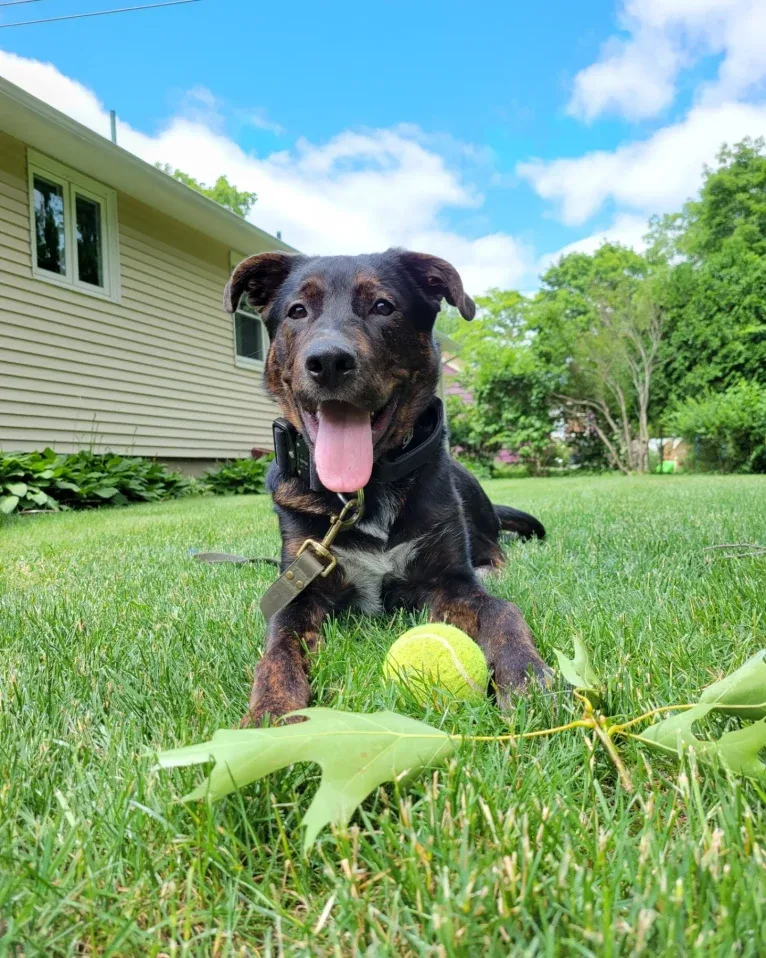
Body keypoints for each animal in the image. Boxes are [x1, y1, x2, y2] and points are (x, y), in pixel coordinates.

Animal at [224, 248, 552, 728]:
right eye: (297, 312)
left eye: (383, 306)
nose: (328, 362)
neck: (364, 492)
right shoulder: (301, 586)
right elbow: (278, 650)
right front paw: (271, 714)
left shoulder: (451, 582)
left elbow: (502, 610)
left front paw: (526, 675)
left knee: (494, 547)